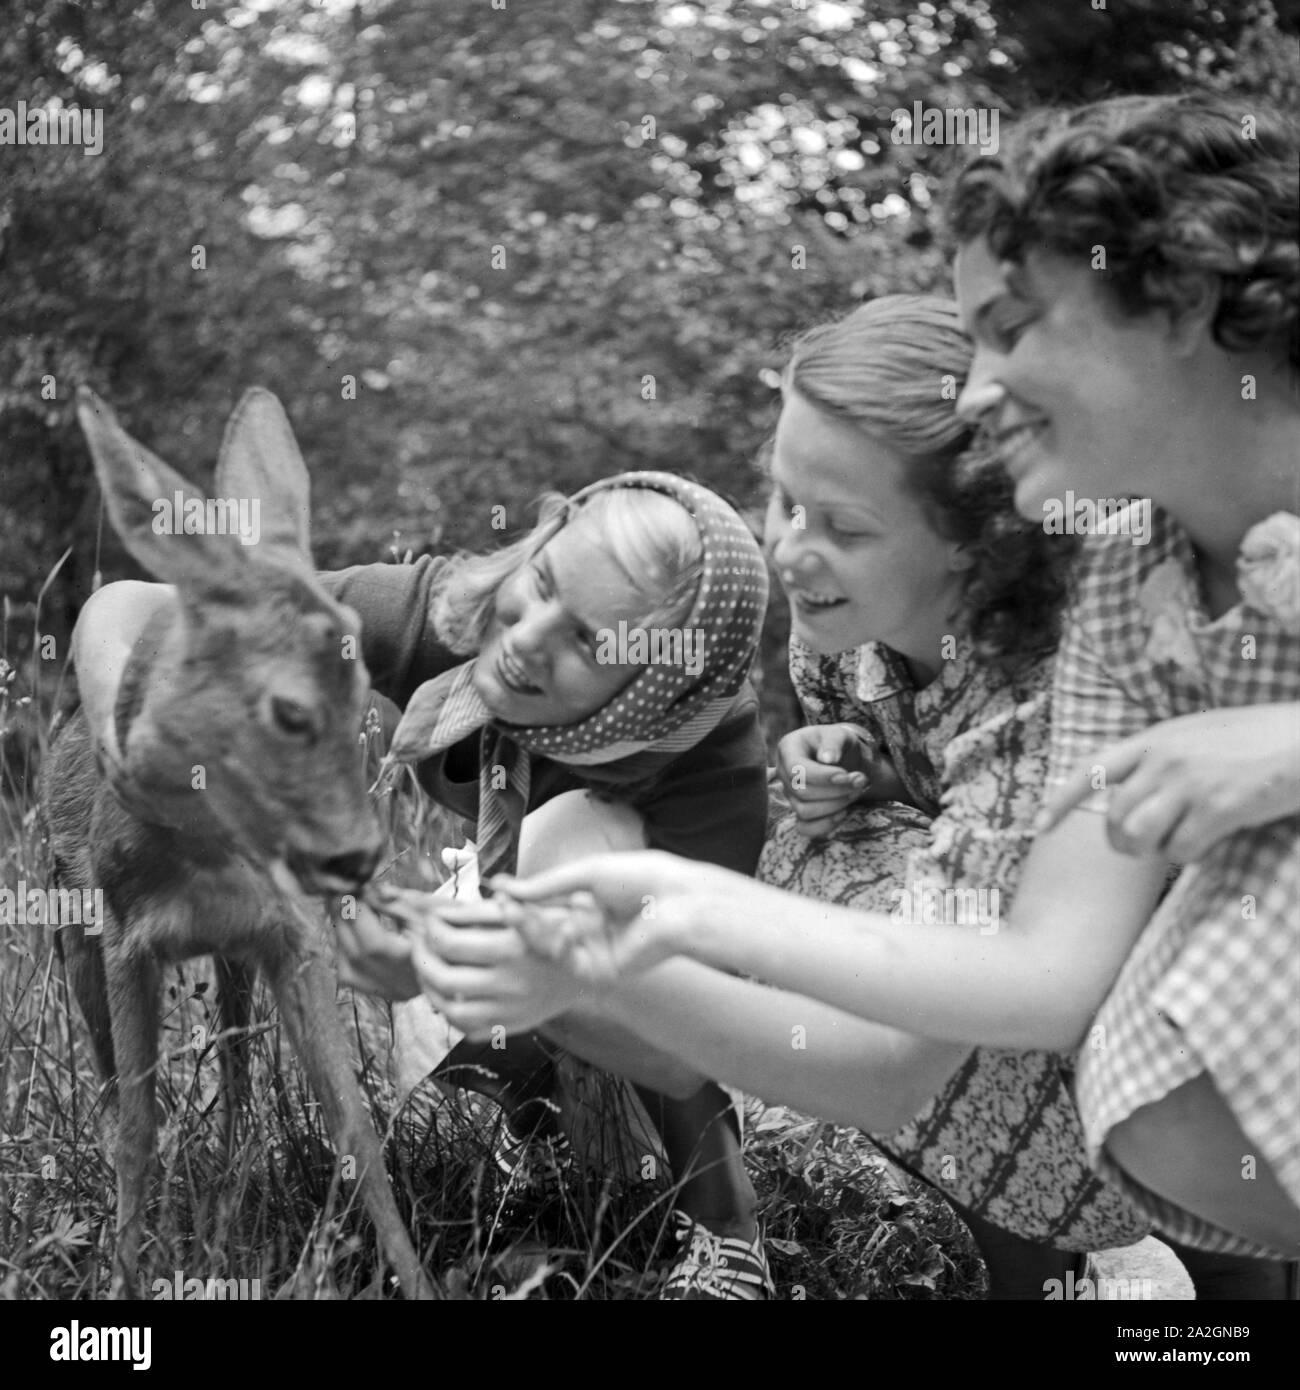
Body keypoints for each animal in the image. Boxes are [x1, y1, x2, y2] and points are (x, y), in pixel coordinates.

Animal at [43, 386, 436, 1295]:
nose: (357, 857)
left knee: (235, 1062)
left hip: (234, 956)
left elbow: (354, 1127)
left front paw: (419, 1279)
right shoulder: (127, 937)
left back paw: (236, 1169)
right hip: (69, 929)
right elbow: (136, 1132)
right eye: (289, 711)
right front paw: (126, 1277)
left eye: (364, 686)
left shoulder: (292, 935)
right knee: (111, 1083)